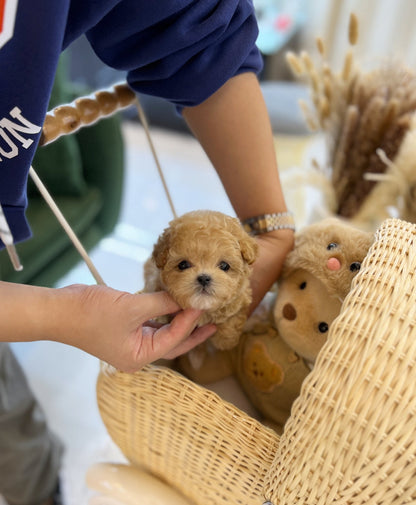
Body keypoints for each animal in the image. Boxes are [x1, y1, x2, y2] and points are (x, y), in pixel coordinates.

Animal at [145, 209, 258, 350]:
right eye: (183, 265)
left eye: (224, 266)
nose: (204, 278)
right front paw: (157, 317)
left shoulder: (241, 298)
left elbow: (233, 318)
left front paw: (226, 340)